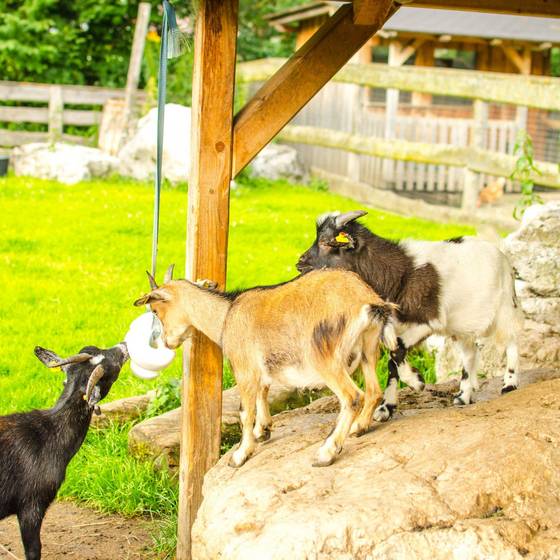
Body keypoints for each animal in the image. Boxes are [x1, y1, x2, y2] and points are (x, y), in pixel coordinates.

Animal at [136, 270, 398, 466]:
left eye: (156, 310)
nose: (167, 342)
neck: (226, 316)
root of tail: (367, 301)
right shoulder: (260, 369)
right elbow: (263, 393)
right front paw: (263, 431)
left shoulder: (244, 369)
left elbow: (244, 411)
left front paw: (240, 455)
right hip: (369, 349)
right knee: (374, 391)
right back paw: (359, 428)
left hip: (325, 357)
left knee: (353, 397)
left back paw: (327, 452)